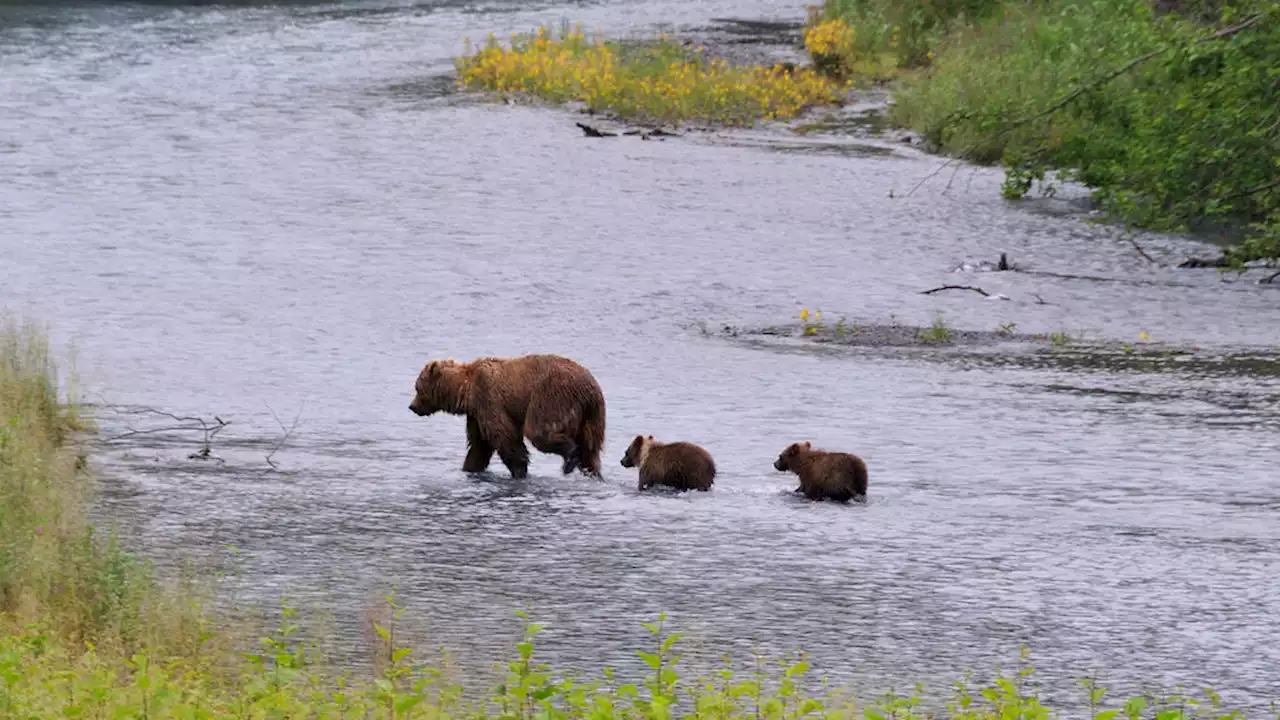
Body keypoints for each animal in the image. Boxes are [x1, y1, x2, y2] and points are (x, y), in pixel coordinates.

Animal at [412, 351, 606, 476]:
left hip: (552, 396)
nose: (411, 406)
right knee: (591, 450)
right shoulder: (476, 414)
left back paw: (570, 459)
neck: (466, 391)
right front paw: (470, 468)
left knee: (539, 431)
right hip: (592, 417)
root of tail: (591, 389)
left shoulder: (489, 399)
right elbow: (479, 446)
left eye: (417, 388)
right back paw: (592, 472)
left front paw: (519, 470)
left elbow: (505, 437)